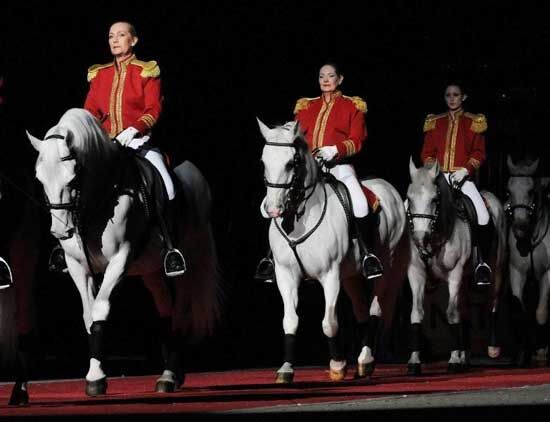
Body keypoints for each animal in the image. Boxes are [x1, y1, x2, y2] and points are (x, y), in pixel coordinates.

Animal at [25, 108, 224, 396]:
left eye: (72, 178)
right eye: (40, 179)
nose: (61, 231)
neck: (98, 200)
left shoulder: (121, 259)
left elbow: (100, 311)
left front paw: (96, 379)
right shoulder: (77, 265)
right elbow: (88, 317)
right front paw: (95, 373)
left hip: (187, 263)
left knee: (179, 310)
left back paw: (170, 375)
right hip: (151, 270)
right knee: (166, 310)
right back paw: (170, 375)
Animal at [260, 118, 410, 382]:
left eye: (291, 163)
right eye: (264, 161)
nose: (273, 209)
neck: (298, 218)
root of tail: (387, 187)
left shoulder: (329, 275)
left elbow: (329, 323)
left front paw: (338, 365)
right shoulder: (285, 274)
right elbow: (289, 321)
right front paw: (286, 369)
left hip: (385, 265)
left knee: (375, 310)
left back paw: (365, 360)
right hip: (350, 276)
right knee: (361, 311)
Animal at [406, 158, 508, 372]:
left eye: (434, 200)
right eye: (409, 199)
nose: (419, 238)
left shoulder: (455, 273)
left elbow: (452, 313)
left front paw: (453, 359)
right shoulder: (416, 273)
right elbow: (417, 312)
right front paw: (414, 360)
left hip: (496, 269)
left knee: (493, 303)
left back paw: (492, 348)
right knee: (465, 311)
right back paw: (465, 355)